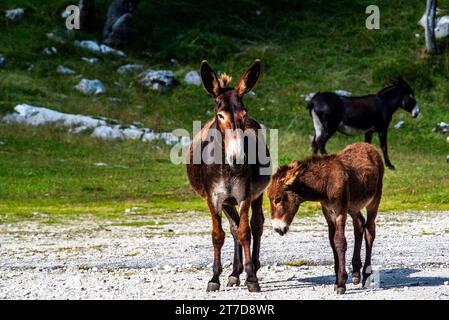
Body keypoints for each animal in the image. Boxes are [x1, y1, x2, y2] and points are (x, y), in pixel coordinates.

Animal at [186, 60, 270, 292]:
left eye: (243, 113)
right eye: (220, 115)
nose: (237, 160)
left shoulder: (245, 195)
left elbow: (245, 232)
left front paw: (252, 278)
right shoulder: (213, 198)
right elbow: (218, 235)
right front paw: (215, 278)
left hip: (255, 194)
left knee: (256, 224)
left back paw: (253, 266)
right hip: (226, 201)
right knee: (233, 227)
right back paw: (234, 273)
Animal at [266, 143, 382, 296]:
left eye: (278, 199)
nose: (277, 228)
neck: (325, 183)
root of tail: (369, 146)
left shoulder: (340, 212)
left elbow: (339, 241)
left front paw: (341, 283)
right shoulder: (328, 212)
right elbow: (332, 242)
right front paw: (337, 281)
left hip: (374, 201)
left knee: (370, 231)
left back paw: (366, 276)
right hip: (353, 207)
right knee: (359, 225)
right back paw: (356, 273)